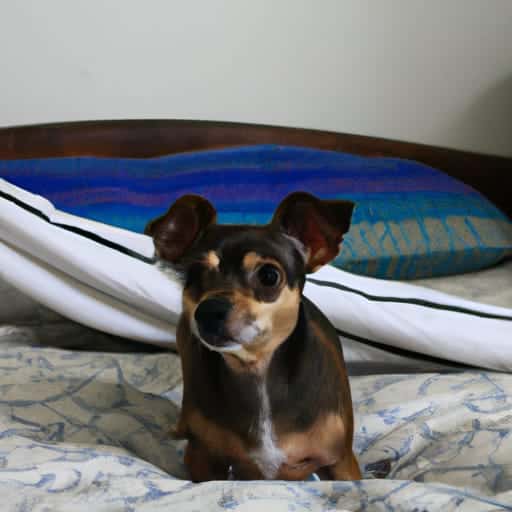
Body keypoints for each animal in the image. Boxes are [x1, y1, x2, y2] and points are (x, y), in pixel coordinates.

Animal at [144, 190, 360, 482]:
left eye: (269, 275)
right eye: (193, 276)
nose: (208, 310)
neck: (255, 369)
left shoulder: (341, 462)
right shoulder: (203, 460)